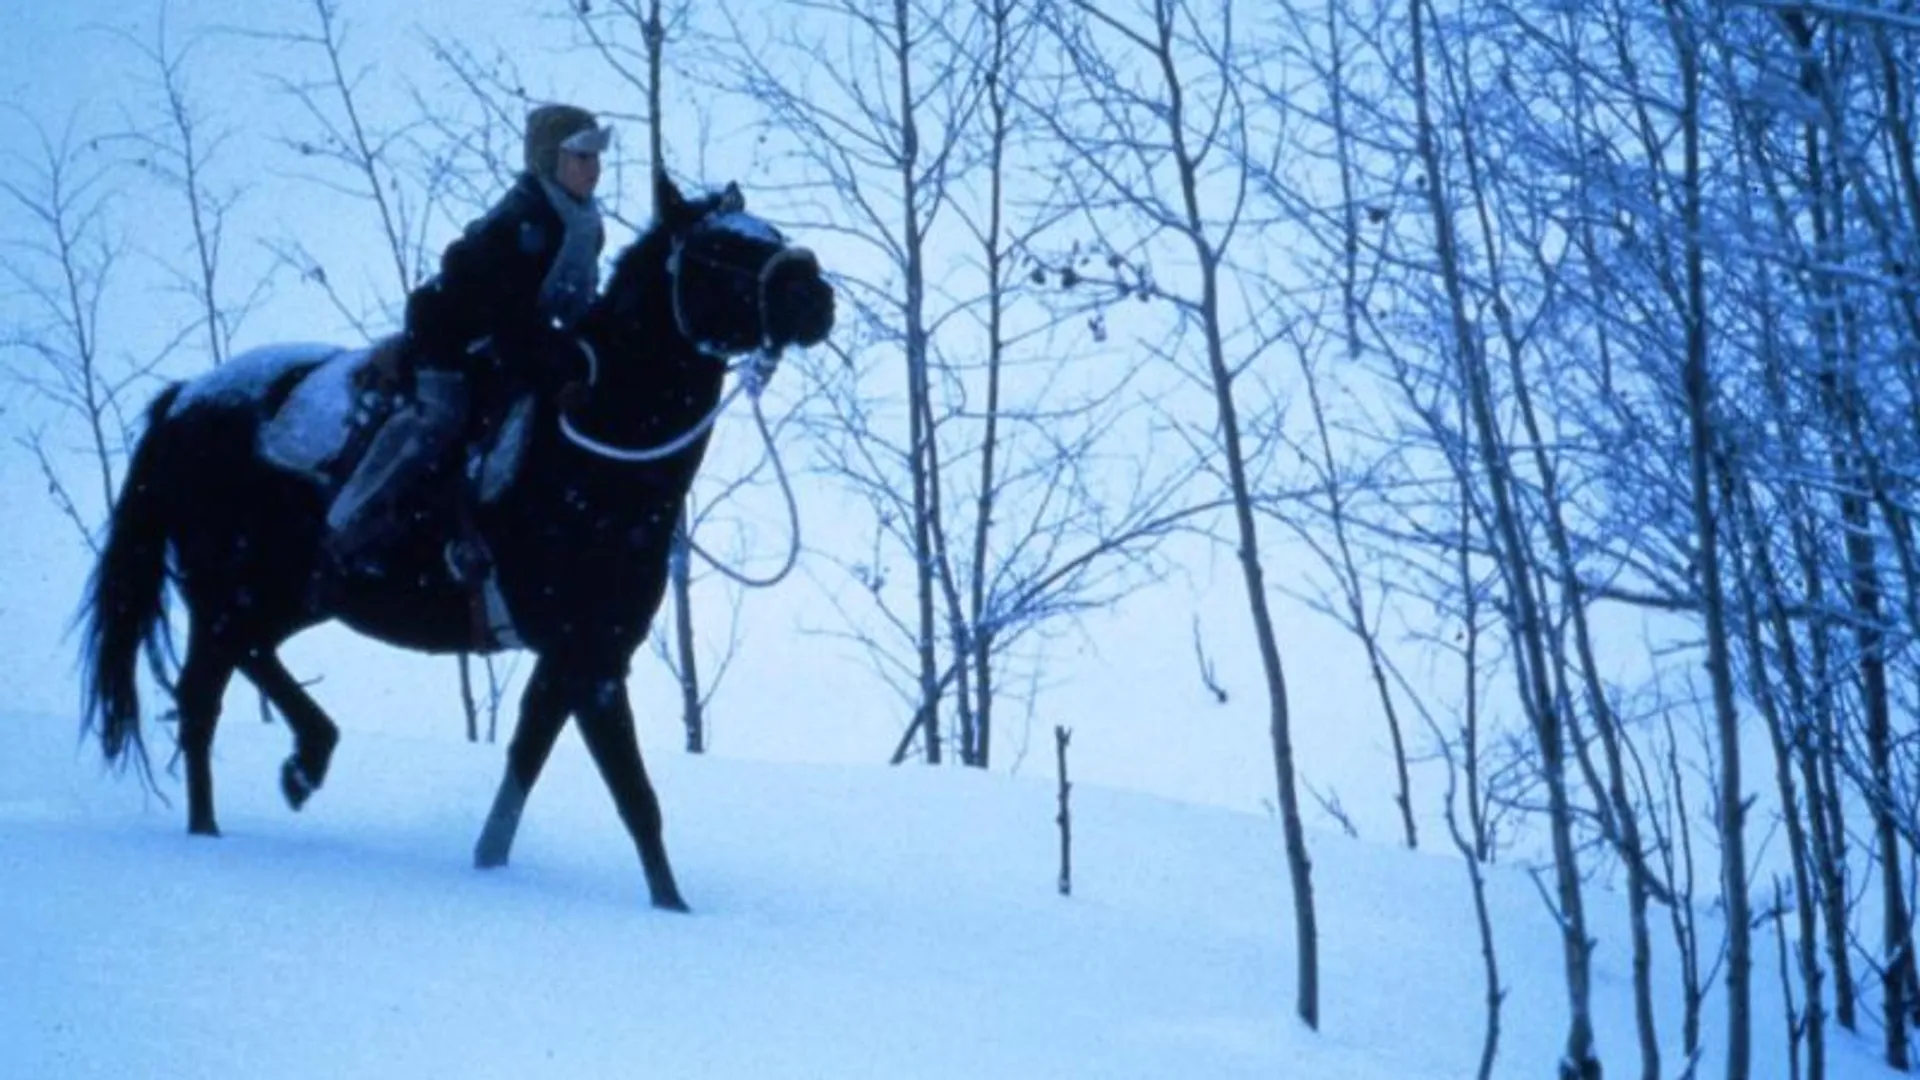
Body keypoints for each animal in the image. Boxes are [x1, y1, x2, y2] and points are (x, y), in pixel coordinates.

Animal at [79, 171, 835, 911]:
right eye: (720, 249)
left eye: (772, 235)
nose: (816, 295)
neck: (594, 445)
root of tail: (184, 397)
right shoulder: (589, 659)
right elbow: (635, 795)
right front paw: (673, 908)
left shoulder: (571, 657)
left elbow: (526, 761)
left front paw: (491, 867)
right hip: (227, 593)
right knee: (204, 695)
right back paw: (227, 819)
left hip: (285, 598)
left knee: (240, 665)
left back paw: (300, 764)